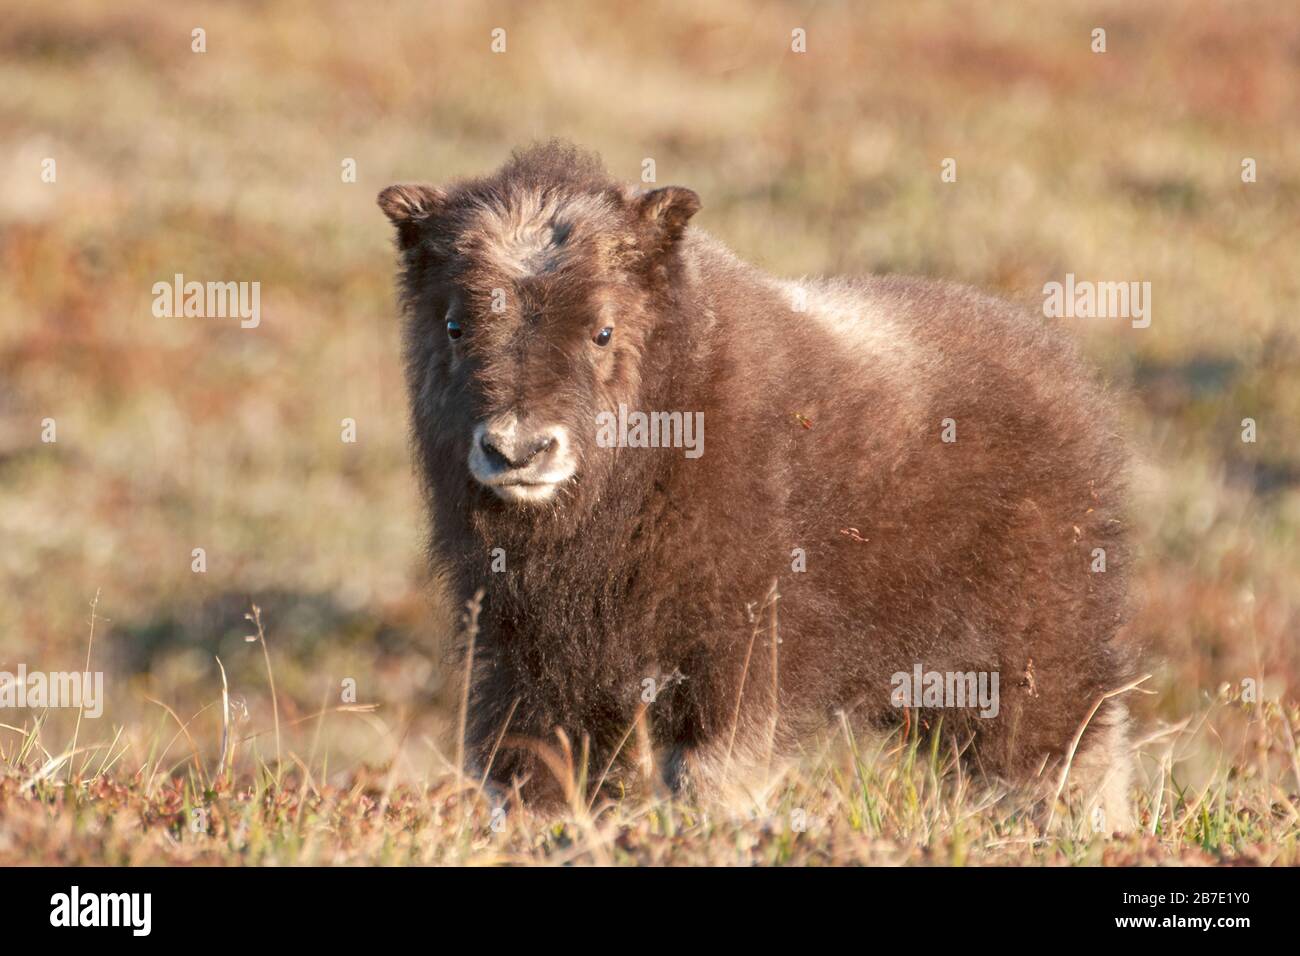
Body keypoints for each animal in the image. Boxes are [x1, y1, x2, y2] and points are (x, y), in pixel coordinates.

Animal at [379, 141, 1138, 832]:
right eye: (455, 324)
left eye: (603, 331)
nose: (518, 449)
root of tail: (1071, 379)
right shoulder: (524, 647)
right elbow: (533, 758)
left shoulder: (742, 640)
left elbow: (711, 765)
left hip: (1035, 644)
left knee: (1065, 747)